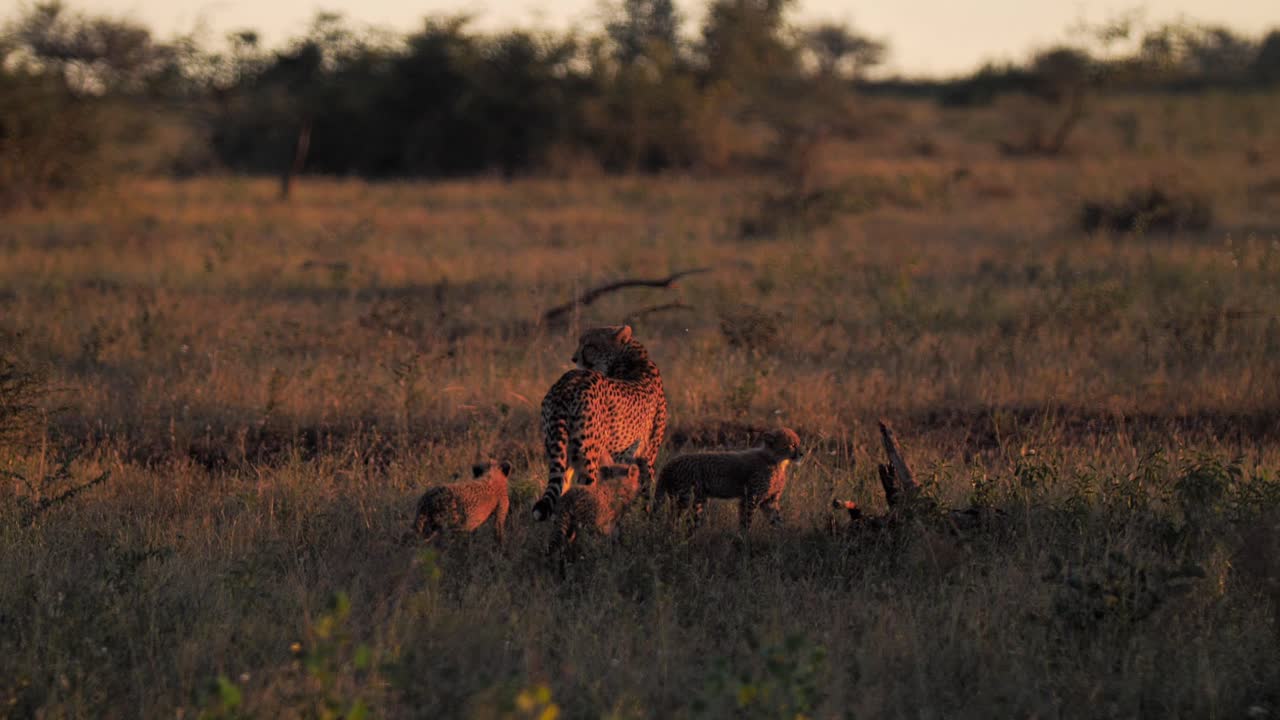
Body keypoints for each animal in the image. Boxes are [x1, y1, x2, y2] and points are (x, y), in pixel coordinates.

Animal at [532, 324, 667, 521]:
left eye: (589, 345)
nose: (574, 358)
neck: (629, 357)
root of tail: (566, 384)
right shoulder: (645, 455)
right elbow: (646, 489)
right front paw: (648, 519)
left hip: (562, 452)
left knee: (561, 491)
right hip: (588, 458)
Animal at [653, 427, 804, 530]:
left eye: (798, 443)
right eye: (792, 445)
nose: (802, 454)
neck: (776, 461)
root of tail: (670, 463)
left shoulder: (769, 501)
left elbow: (778, 520)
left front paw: (785, 538)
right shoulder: (750, 498)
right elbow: (746, 522)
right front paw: (744, 541)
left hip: (697, 501)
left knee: (689, 522)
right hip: (685, 499)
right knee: (673, 521)